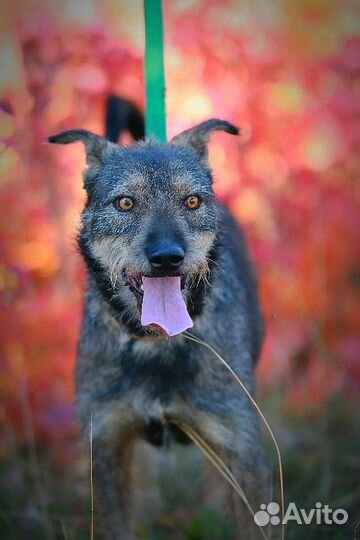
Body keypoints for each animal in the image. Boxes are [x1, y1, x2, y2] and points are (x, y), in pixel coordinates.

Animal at [48, 102, 268, 540]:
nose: (167, 257)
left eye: (193, 202)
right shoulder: (108, 446)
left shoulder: (239, 446)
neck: (157, 344)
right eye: (125, 203)